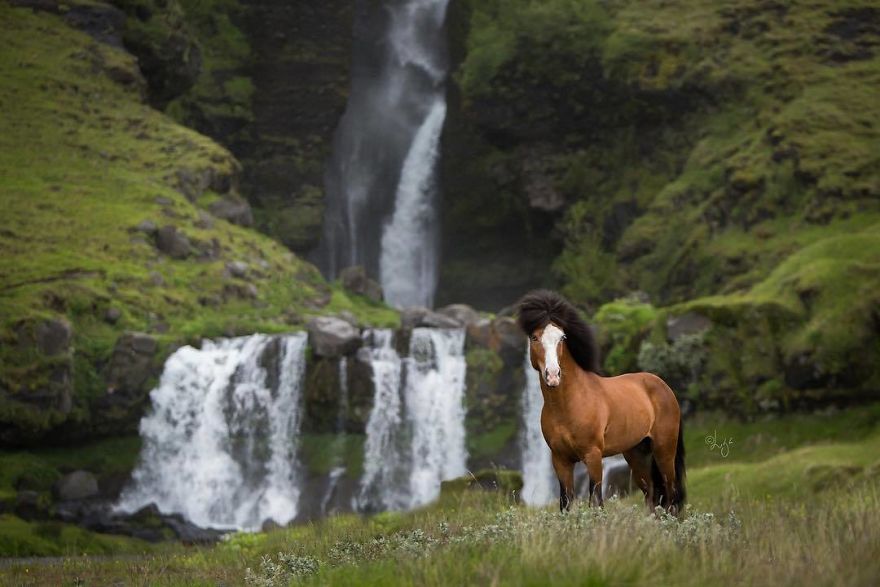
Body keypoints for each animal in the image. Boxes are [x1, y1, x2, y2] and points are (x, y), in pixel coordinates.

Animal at [517, 290, 686, 515]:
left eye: (562, 337)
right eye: (534, 337)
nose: (553, 375)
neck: (569, 404)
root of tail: (664, 387)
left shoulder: (593, 456)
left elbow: (596, 502)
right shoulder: (560, 460)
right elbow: (565, 503)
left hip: (664, 450)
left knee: (671, 493)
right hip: (637, 454)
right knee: (651, 495)